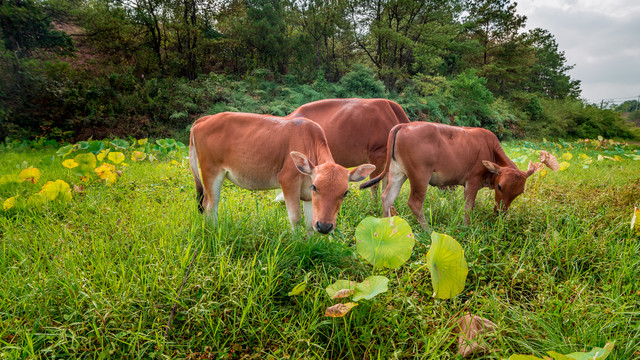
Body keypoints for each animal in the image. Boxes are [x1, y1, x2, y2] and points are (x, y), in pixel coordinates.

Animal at [188, 114, 376, 235]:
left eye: (345, 193)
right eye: (316, 187)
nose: (324, 226)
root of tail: (204, 119)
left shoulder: (307, 196)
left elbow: (309, 224)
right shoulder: (288, 181)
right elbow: (295, 219)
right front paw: (297, 243)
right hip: (211, 171)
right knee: (210, 205)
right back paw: (214, 231)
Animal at [360, 121, 552, 228]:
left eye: (519, 192)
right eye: (499, 186)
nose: (500, 213)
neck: (490, 148)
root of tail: (404, 125)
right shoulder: (473, 181)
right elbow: (468, 207)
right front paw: (466, 227)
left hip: (398, 172)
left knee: (387, 197)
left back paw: (388, 226)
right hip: (420, 176)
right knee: (414, 203)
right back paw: (428, 230)